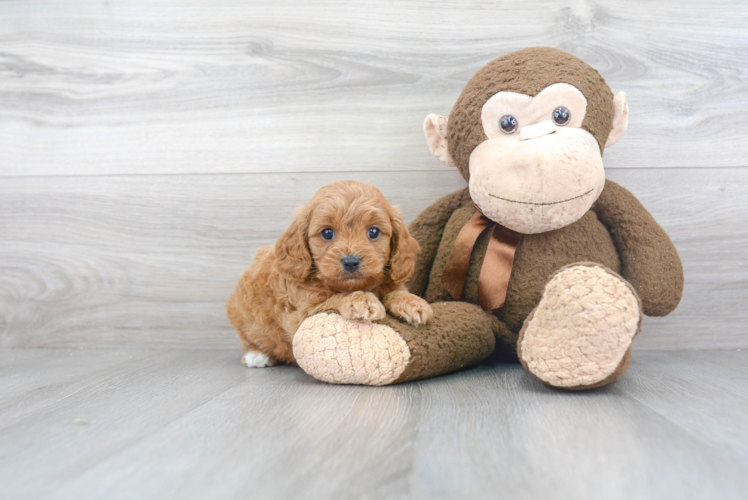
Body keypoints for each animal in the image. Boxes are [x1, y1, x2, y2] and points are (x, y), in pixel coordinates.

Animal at [225, 180, 432, 368]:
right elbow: (334, 297)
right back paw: (257, 355)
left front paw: (412, 303)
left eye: (373, 232)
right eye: (327, 233)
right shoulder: (302, 314)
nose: (351, 261)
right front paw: (361, 300)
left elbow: (395, 291)